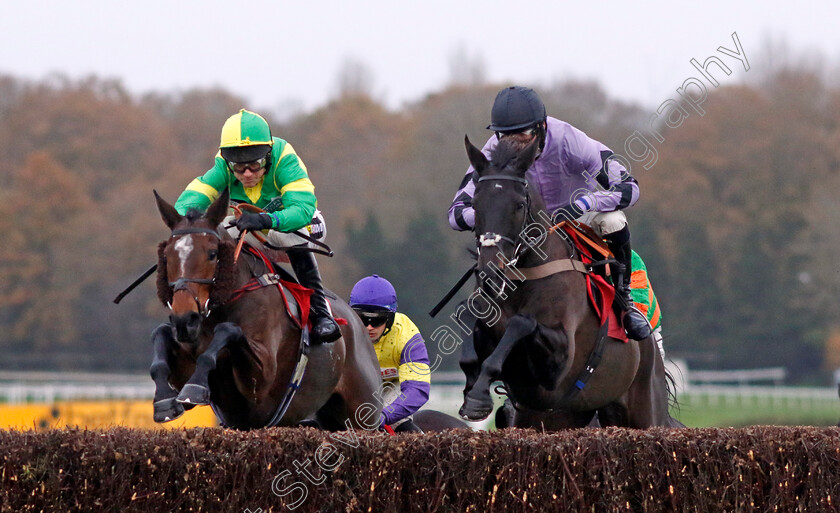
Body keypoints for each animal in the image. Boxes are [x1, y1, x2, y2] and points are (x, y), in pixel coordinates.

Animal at [149, 188, 382, 428]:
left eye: (212, 254)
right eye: (166, 256)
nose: (184, 320)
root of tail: (358, 323)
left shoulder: (262, 381)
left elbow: (229, 330)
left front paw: (194, 387)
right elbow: (161, 334)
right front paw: (164, 400)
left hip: (363, 413)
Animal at [456, 135, 680, 428]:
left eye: (518, 205)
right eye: (475, 205)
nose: (491, 273)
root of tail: (653, 351)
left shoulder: (558, 362)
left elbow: (521, 322)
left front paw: (478, 396)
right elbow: (468, 321)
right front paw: (473, 390)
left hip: (644, 413)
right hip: (563, 416)